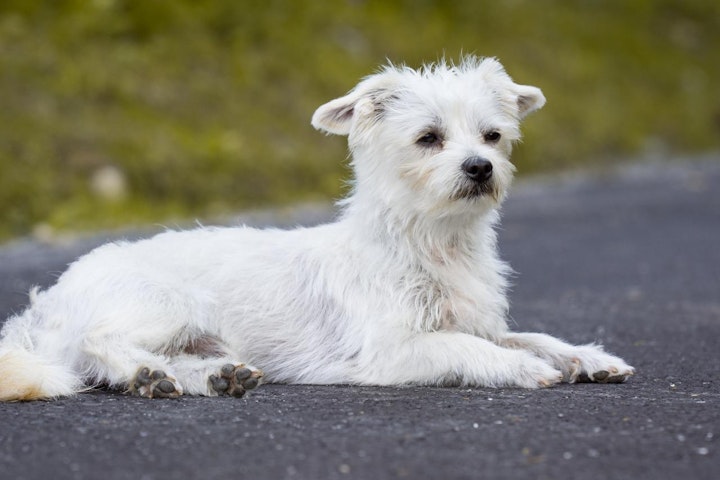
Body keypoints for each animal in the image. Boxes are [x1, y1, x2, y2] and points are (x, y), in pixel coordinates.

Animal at [0, 56, 632, 402]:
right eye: (429, 138)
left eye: (493, 136)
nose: (480, 168)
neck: (431, 243)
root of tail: (48, 303)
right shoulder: (392, 351)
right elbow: (466, 347)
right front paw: (523, 369)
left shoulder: (479, 322)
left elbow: (530, 335)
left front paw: (584, 356)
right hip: (166, 303)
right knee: (97, 343)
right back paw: (144, 373)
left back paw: (206, 377)